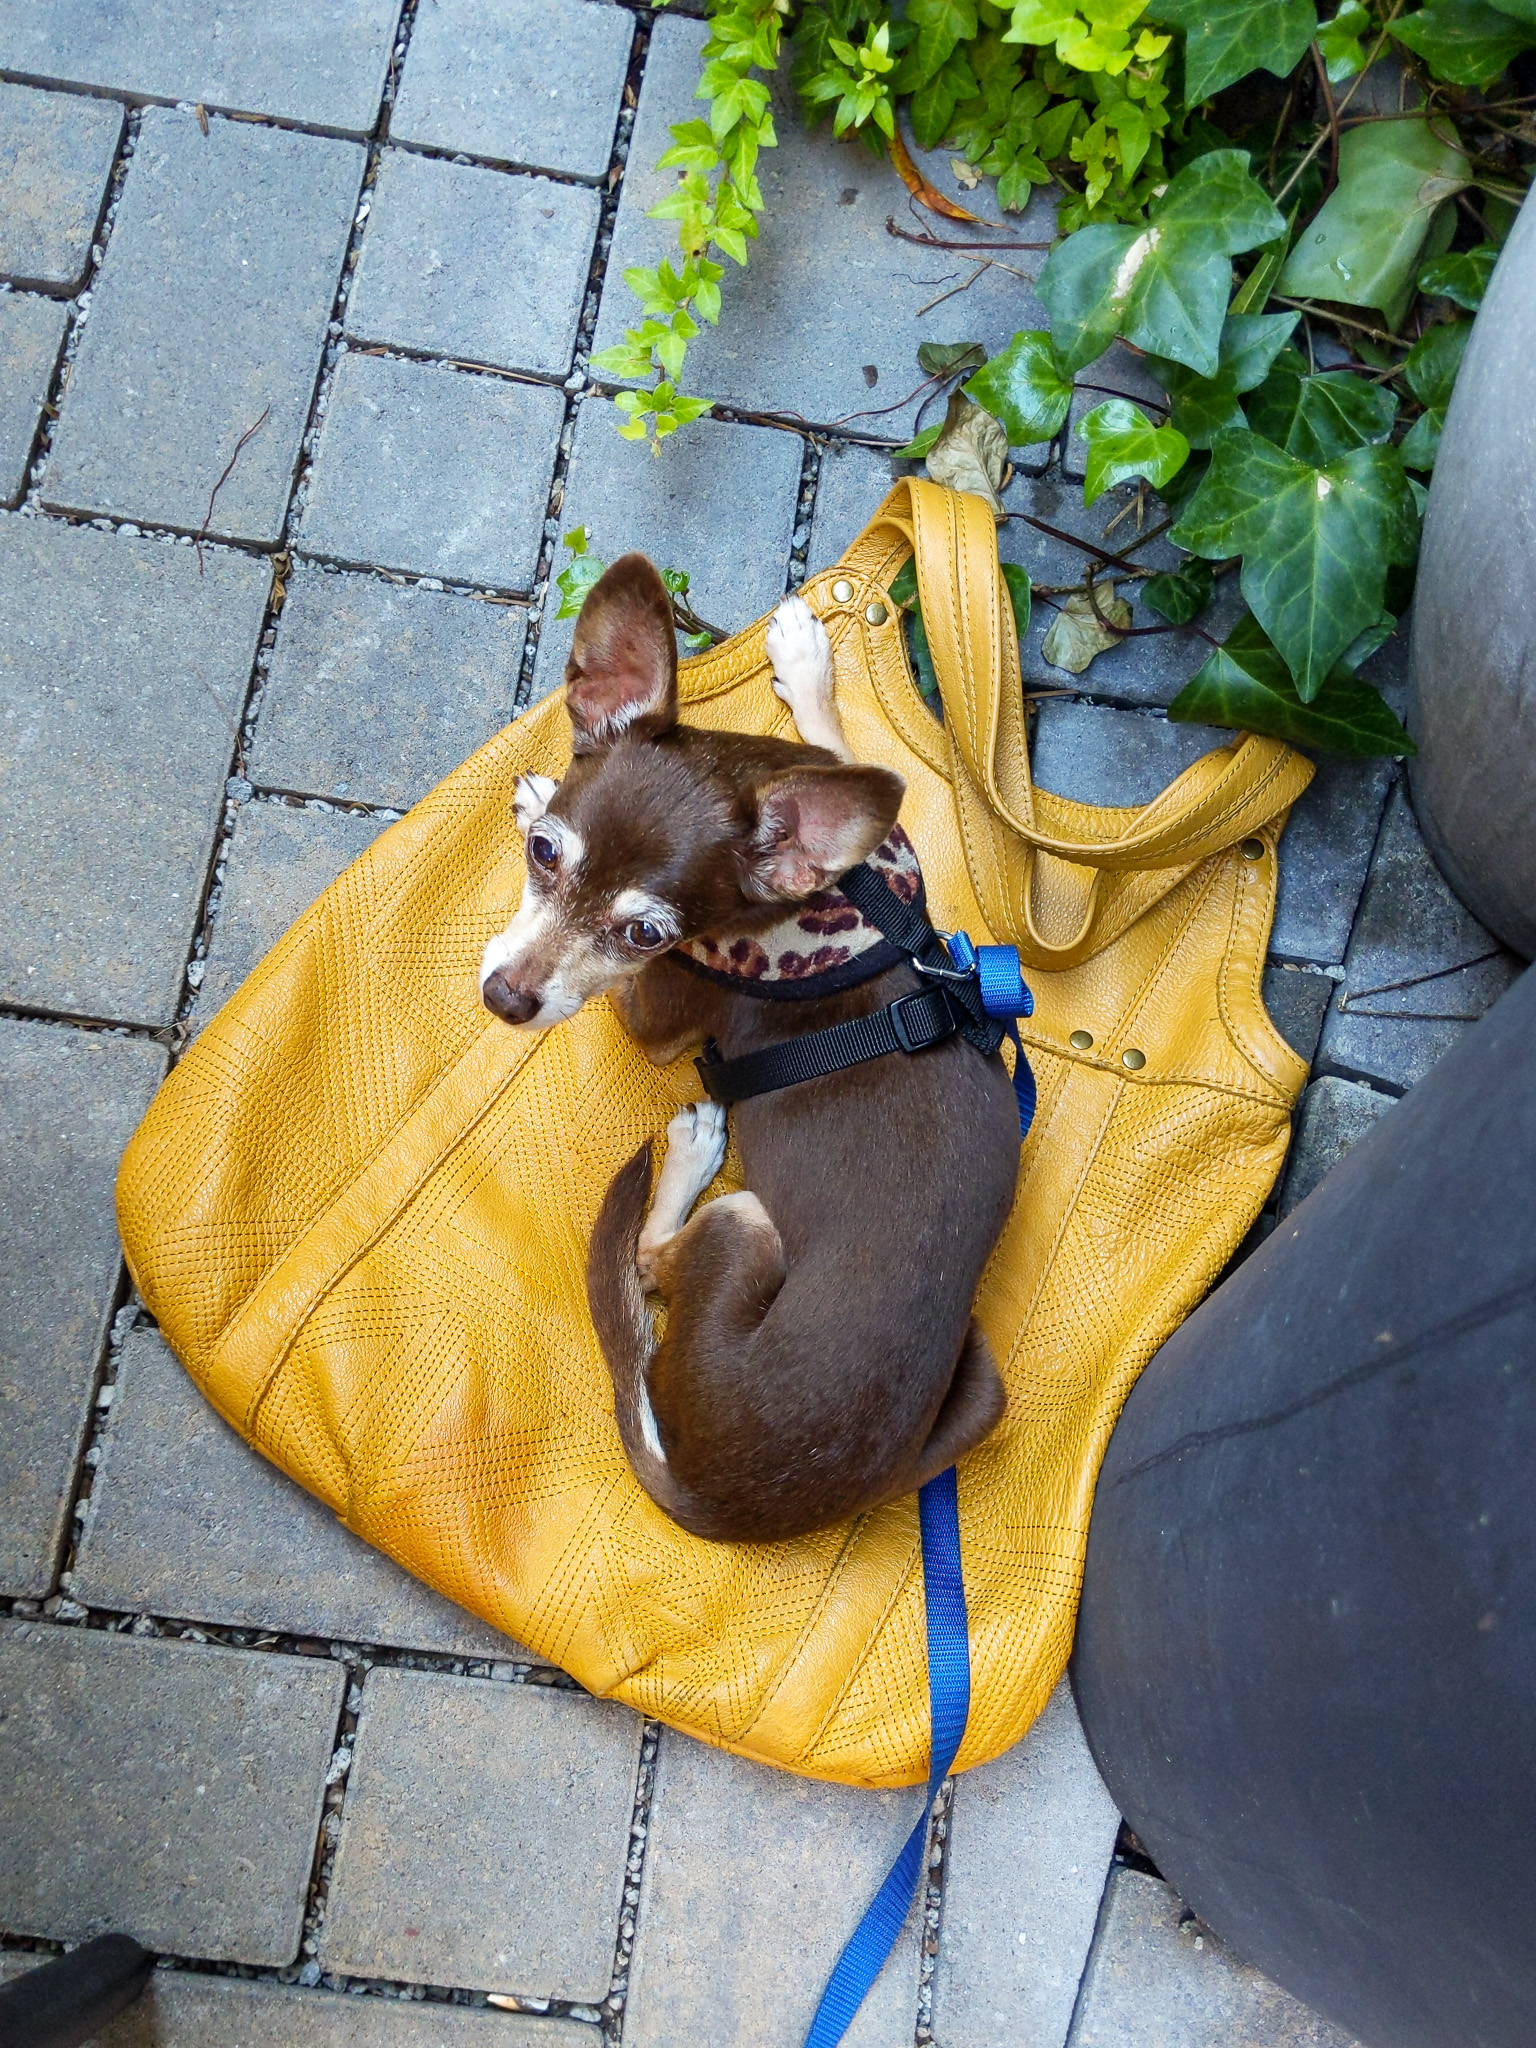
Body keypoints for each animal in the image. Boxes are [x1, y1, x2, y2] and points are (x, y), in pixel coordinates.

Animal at [481, 552, 1024, 1540]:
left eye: (645, 935)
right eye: (544, 855)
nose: (505, 1000)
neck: (821, 895)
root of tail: (714, 1497)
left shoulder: (660, 1016)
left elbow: (614, 1000)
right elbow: (838, 746)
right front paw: (807, 665)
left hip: (748, 1224)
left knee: (651, 1260)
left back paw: (690, 1156)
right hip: (980, 1390)